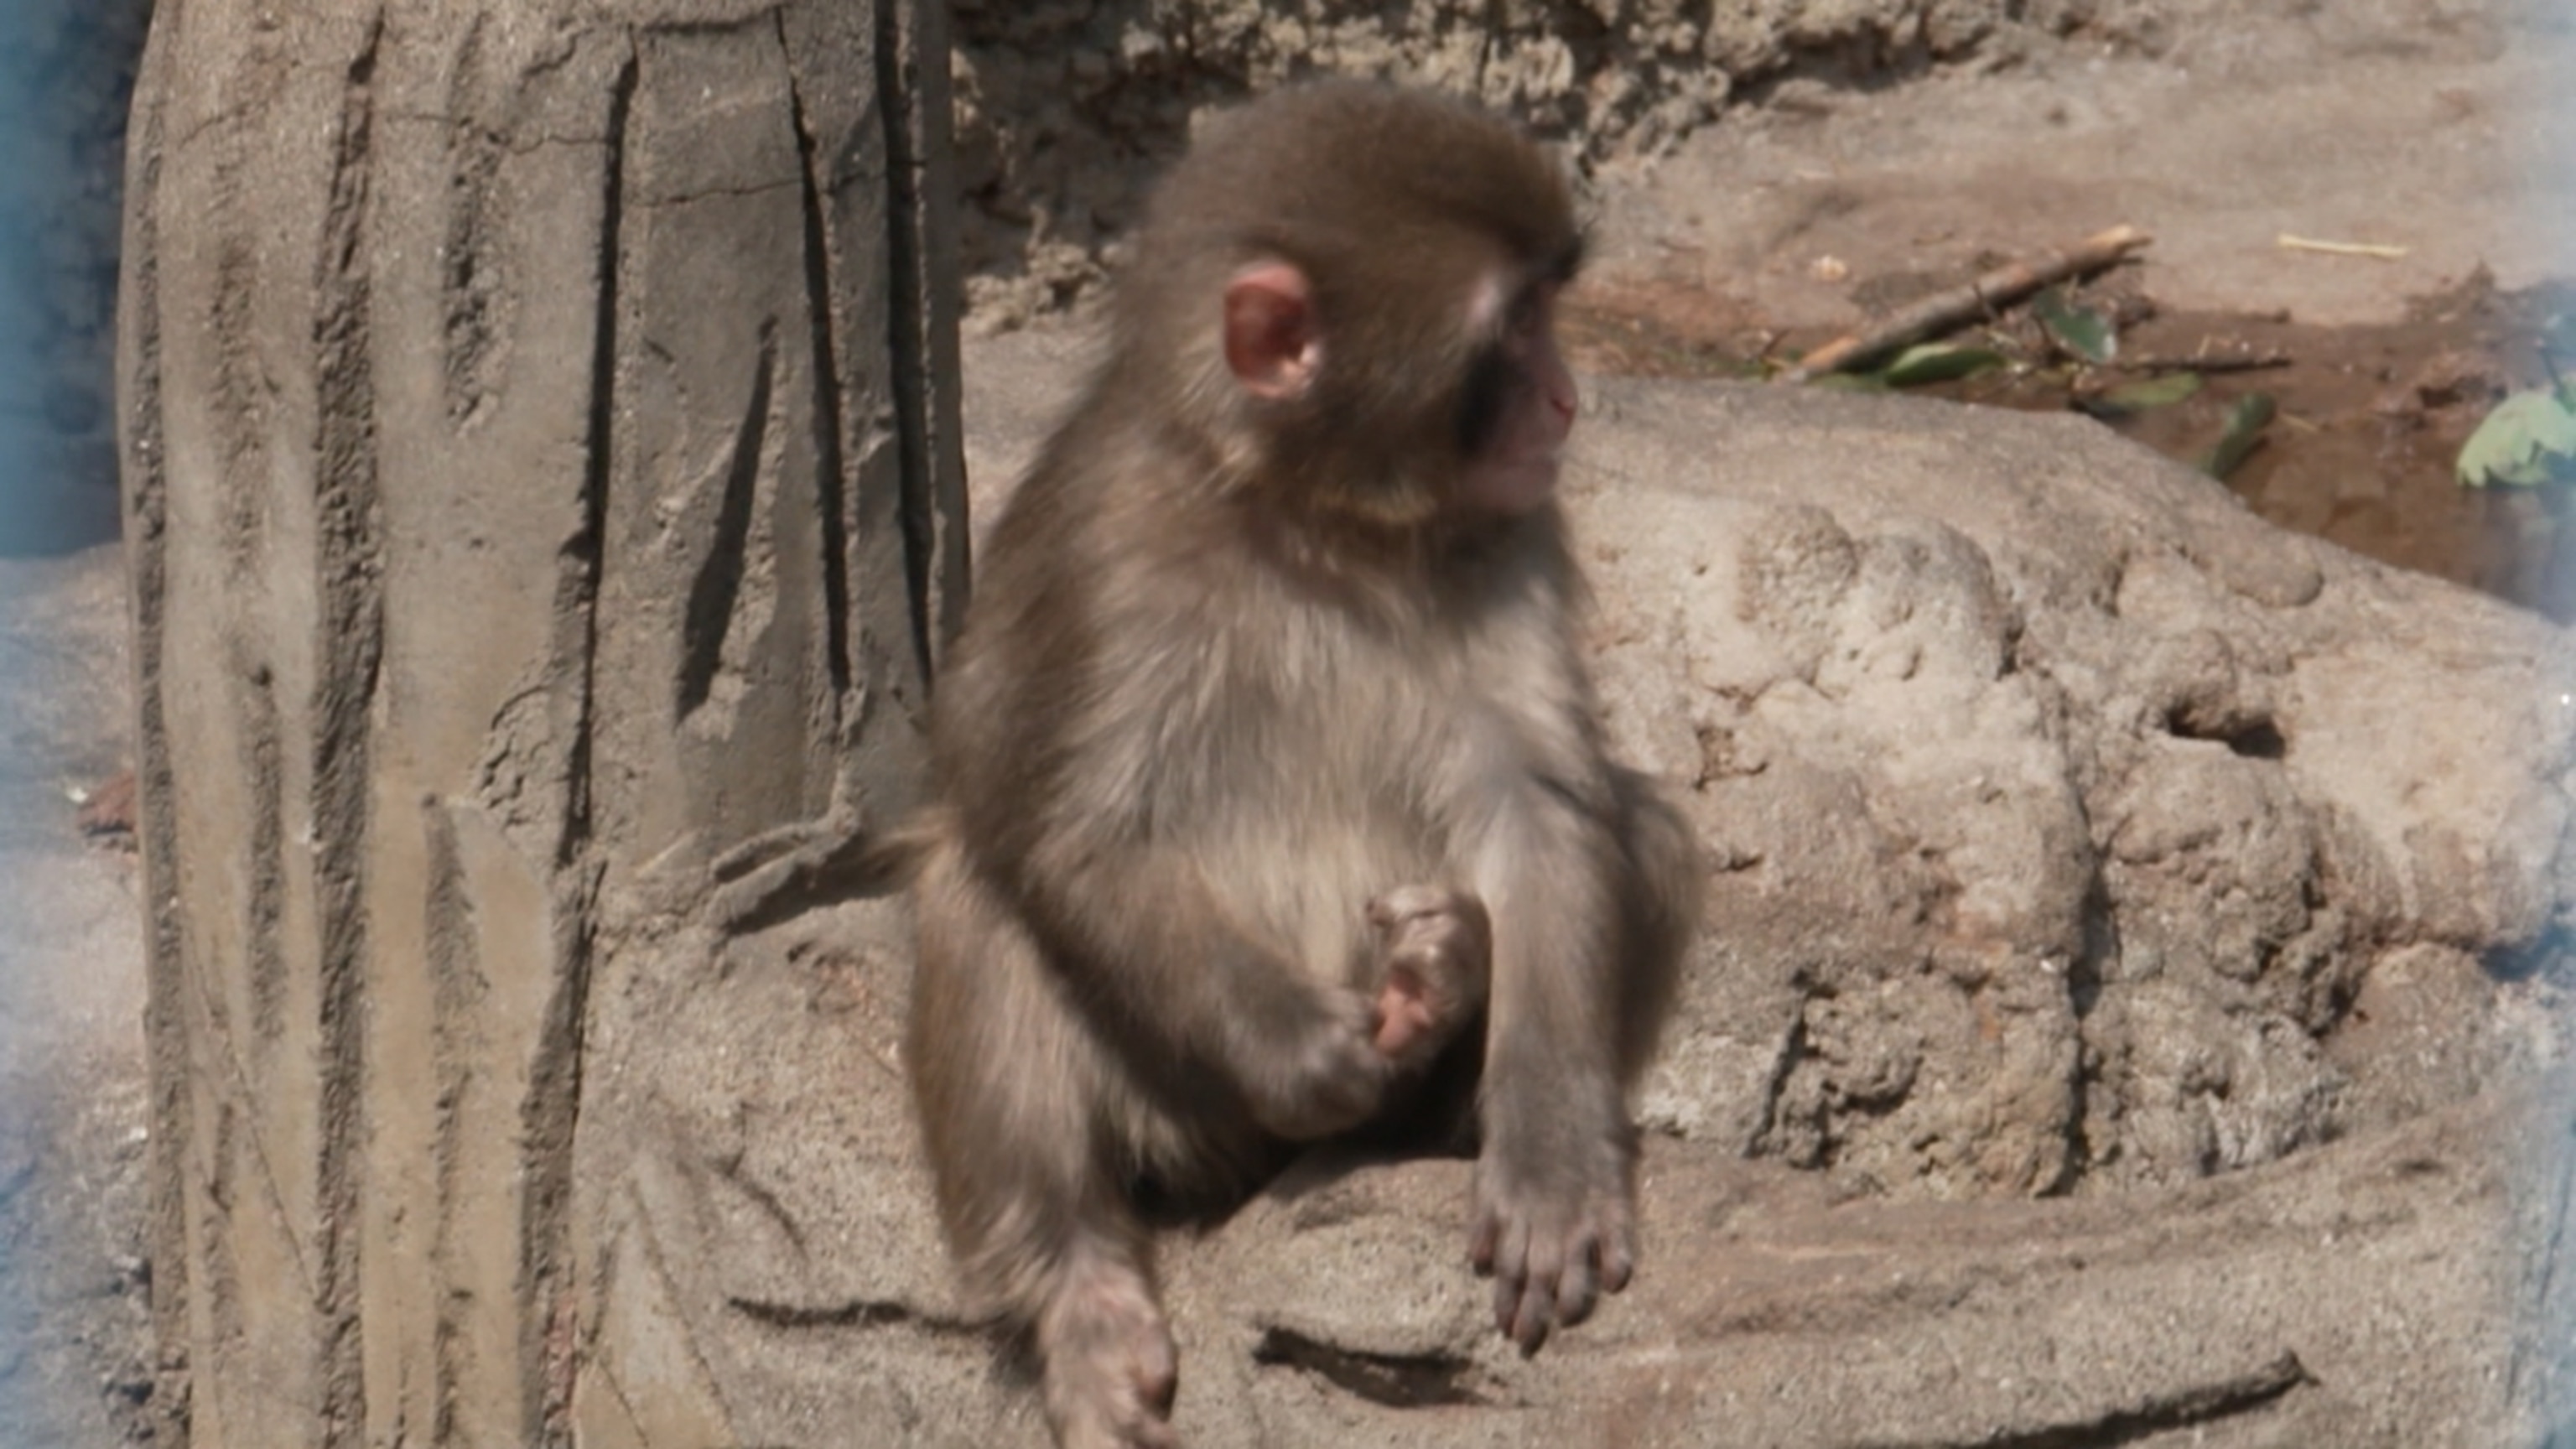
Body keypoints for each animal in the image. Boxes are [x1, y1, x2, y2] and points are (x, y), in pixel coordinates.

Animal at [904, 81, 1703, 1449]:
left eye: (1550, 312)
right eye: (1515, 328)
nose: (1566, 401)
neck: (1324, 521)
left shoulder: (1514, 528)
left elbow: (1541, 808)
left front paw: (1549, 1146)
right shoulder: (1108, 550)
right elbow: (1062, 826)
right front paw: (1298, 1044)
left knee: (1640, 829)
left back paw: (1448, 984)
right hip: (1183, 1110)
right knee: (978, 895)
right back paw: (1078, 1289)